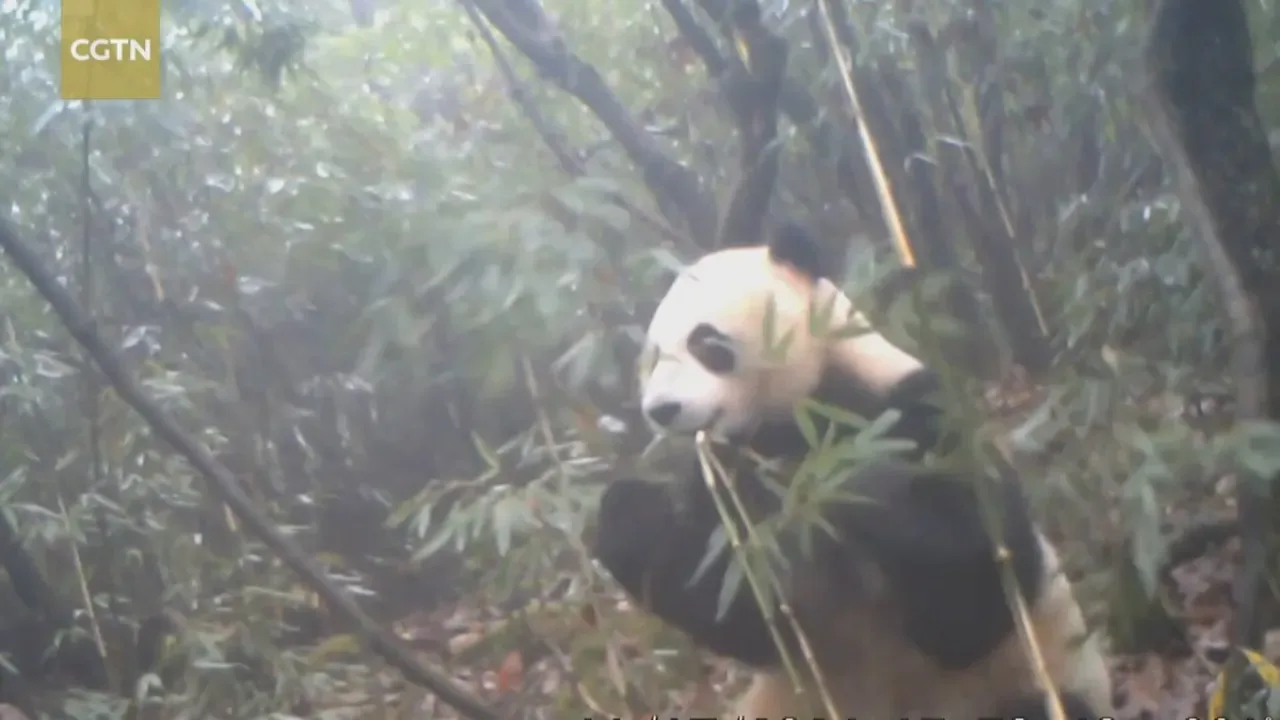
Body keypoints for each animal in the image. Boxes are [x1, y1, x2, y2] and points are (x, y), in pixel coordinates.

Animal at [590, 223, 1114, 719]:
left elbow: (979, 594)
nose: (661, 410)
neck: (795, 426)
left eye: (706, 342)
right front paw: (630, 514)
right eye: (652, 357)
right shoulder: (729, 493)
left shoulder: (915, 410)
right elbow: (743, 616)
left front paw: (848, 483)